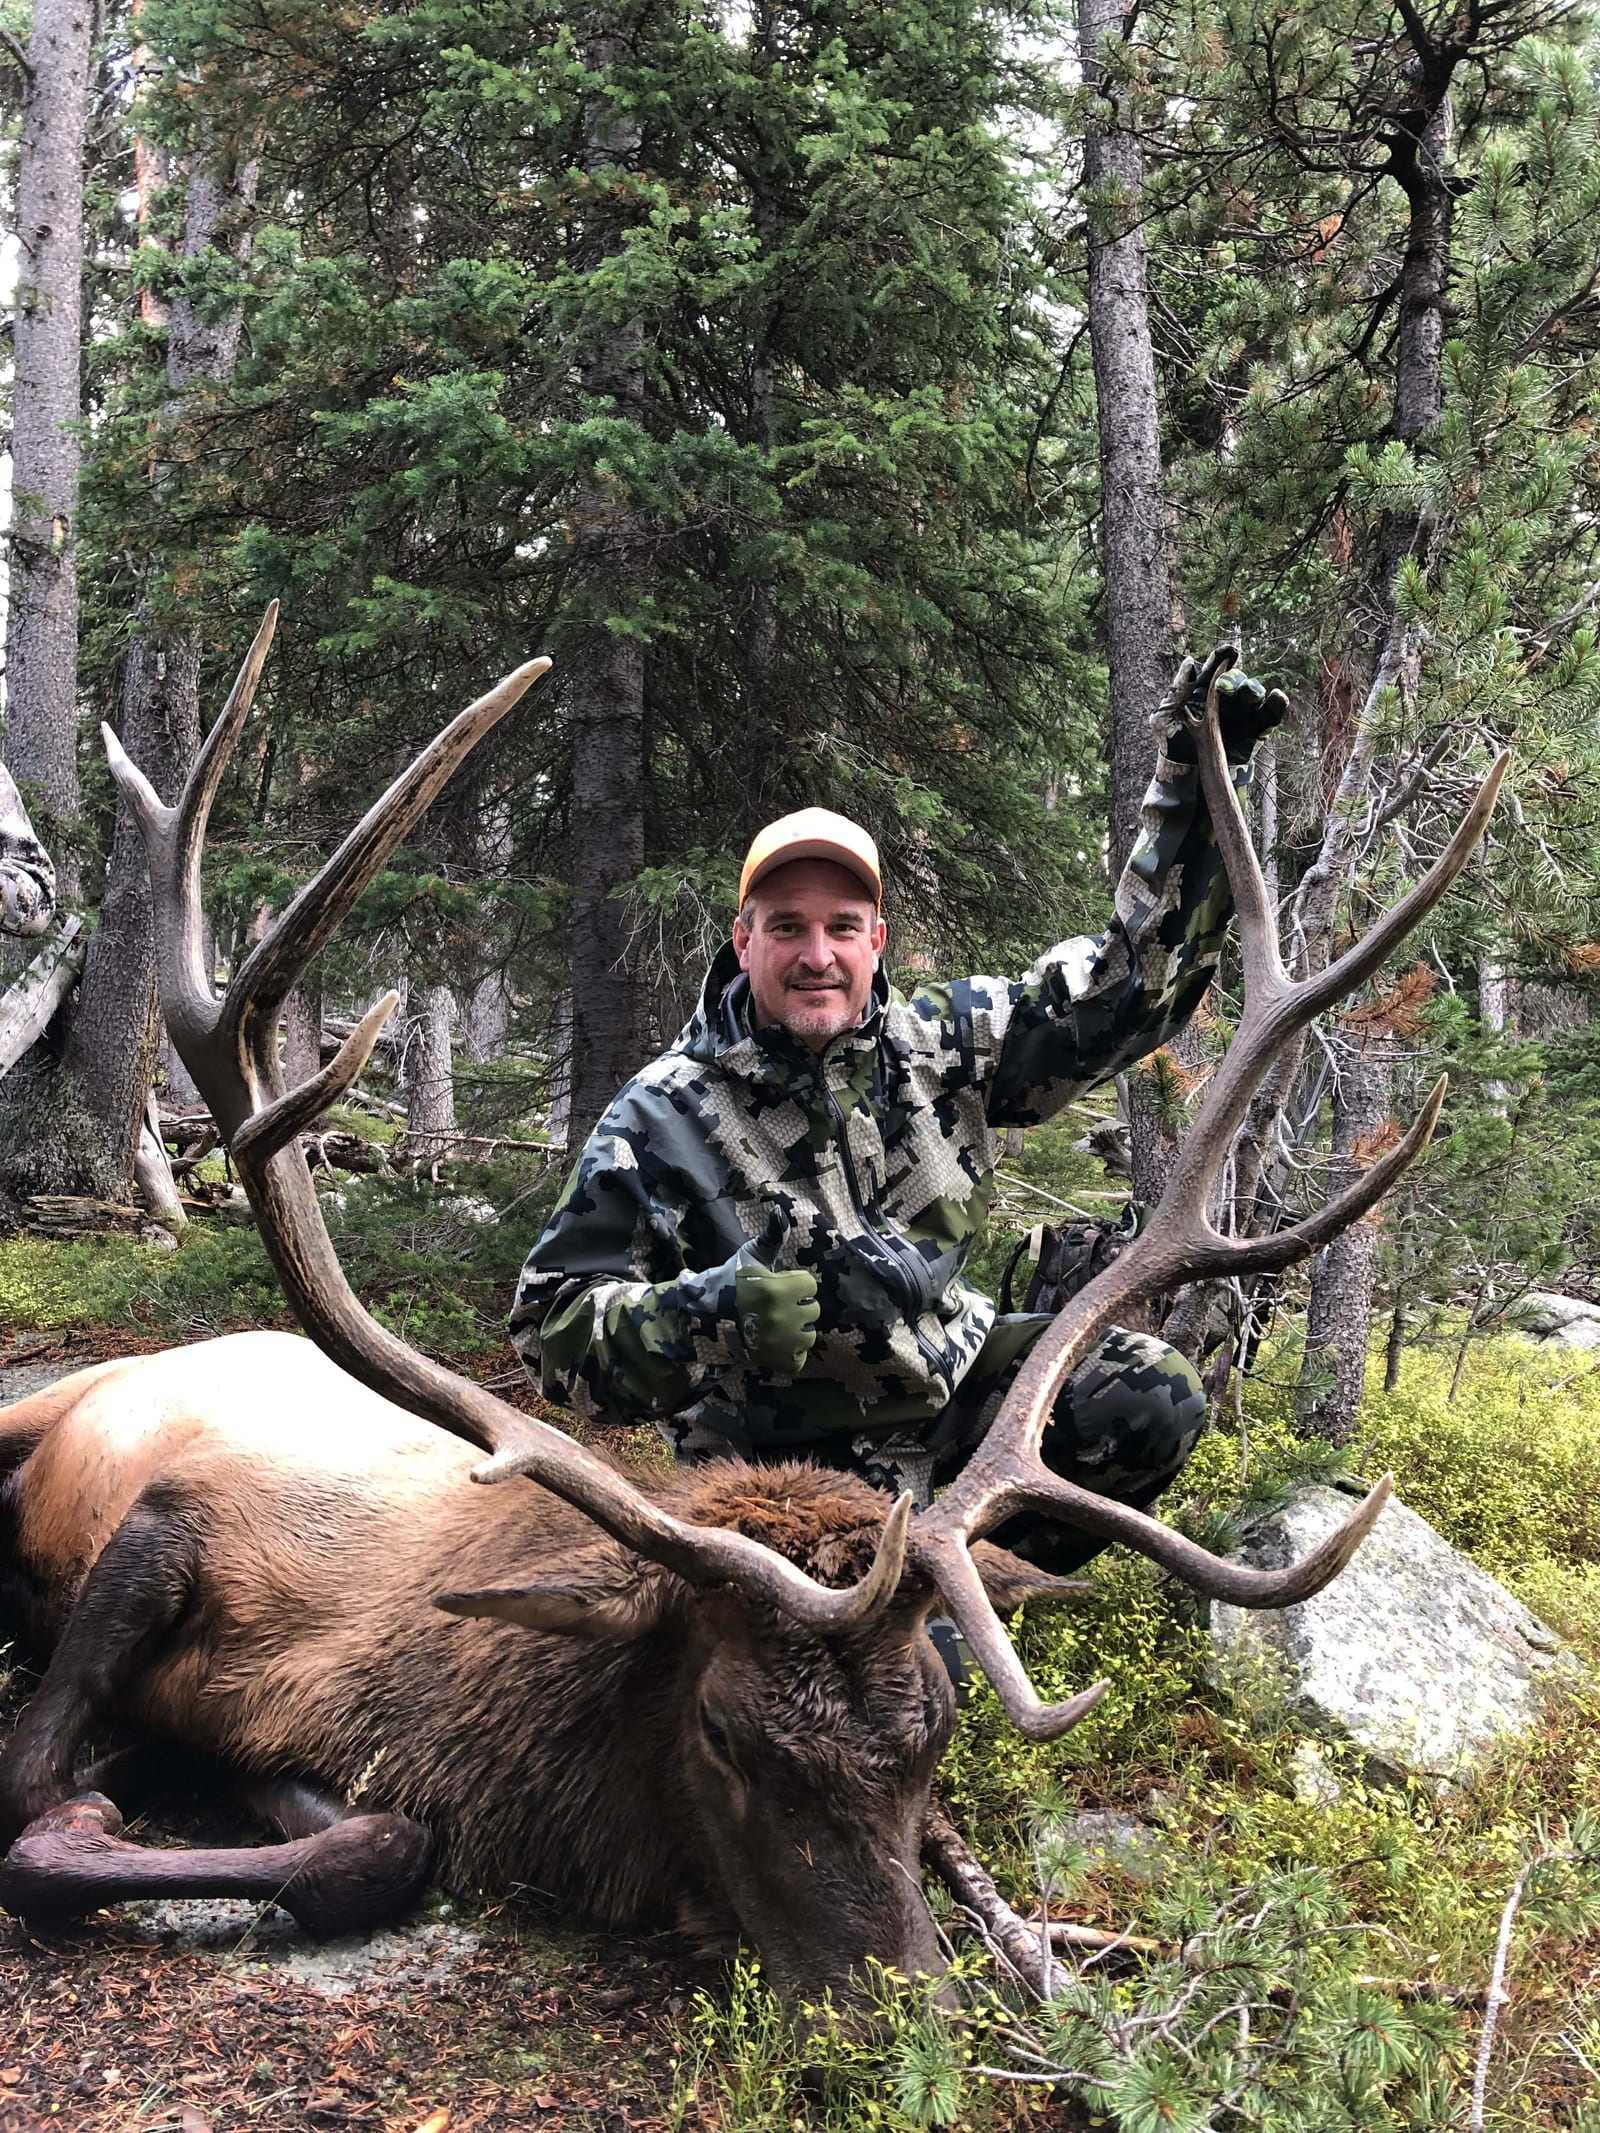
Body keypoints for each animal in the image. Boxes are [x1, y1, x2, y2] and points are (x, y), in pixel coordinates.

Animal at [0, 608, 1506, 2006]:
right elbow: (46, 1794)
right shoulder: (177, 1521)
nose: (900, 2002)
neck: (398, 1671)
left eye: (936, 1733)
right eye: (725, 1736)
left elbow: (374, 1830)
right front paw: (99, 1795)